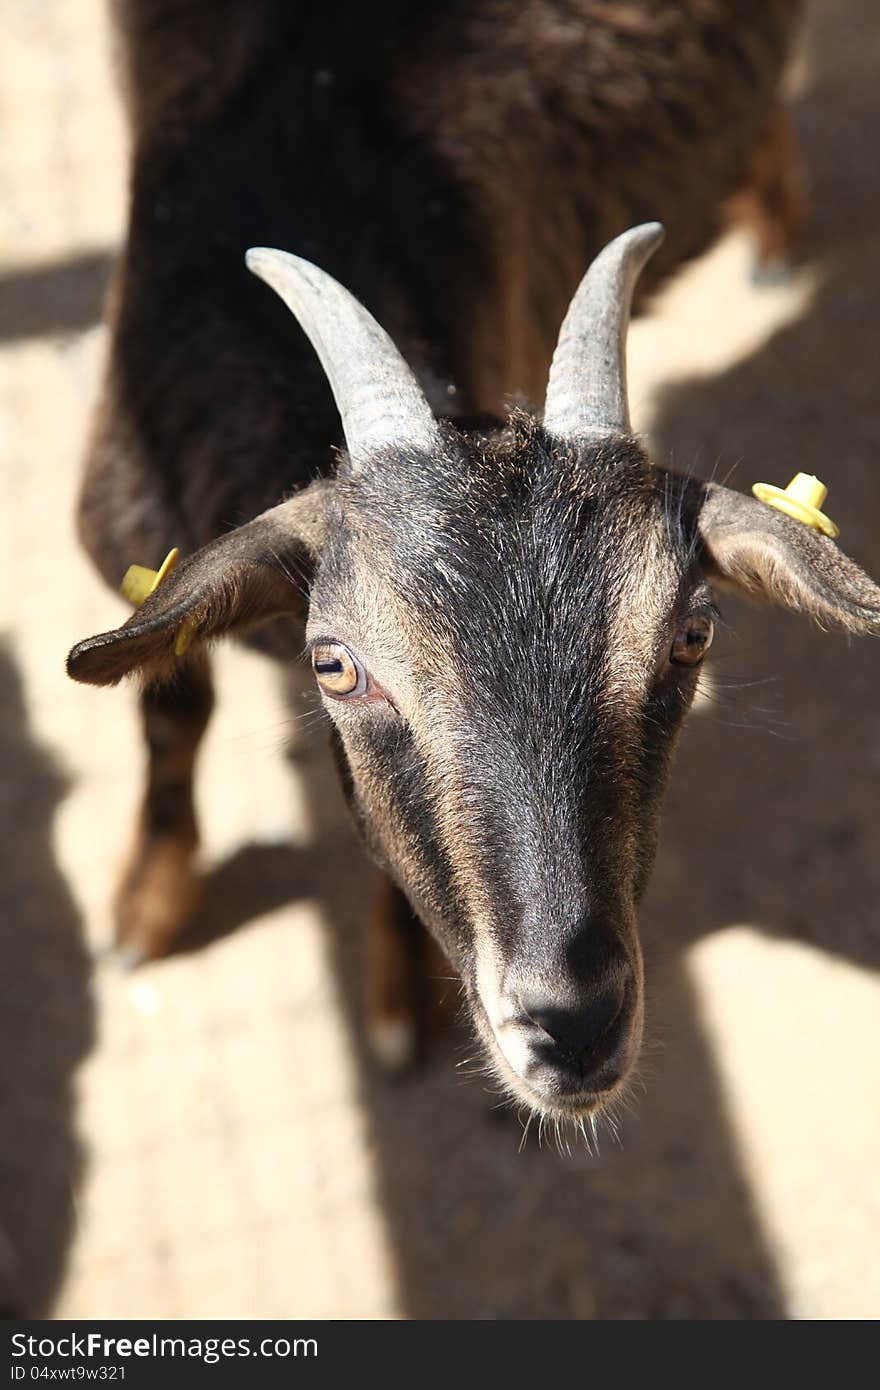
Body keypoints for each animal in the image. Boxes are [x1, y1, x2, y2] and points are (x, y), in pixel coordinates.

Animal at [68, 0, 878, 1128]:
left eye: (691, 634)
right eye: (335, 664)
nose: (573, 1025)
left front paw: (397, 992)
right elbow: (172, 705)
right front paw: (145, 903)